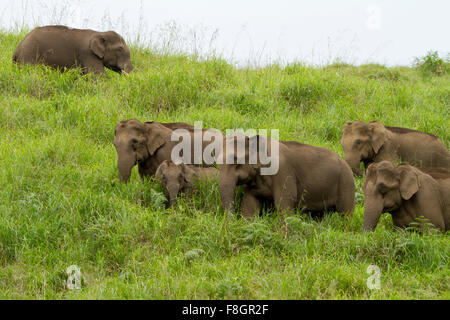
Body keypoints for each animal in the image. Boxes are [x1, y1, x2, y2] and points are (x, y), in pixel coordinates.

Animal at [217, 135, 356, 218]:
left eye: (236, 160)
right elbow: (249, 204)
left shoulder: (283, 171)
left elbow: (285, 203)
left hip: (346, 182)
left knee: (345, 213)